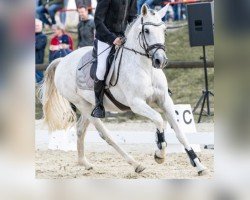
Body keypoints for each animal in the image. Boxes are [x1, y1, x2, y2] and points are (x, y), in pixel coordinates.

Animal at [40, 3, 206, 174]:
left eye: (164, 30)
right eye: (146, 31)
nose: (160, 60)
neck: (146, 69)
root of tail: (62, 60)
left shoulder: (165, 100)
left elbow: (180, 132)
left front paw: (198, 164)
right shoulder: (137, 103)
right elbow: (159, 120)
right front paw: (160, 154)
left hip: (90, 105)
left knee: (80, 129)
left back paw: (84, 163)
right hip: (83, 105)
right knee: (106, 135)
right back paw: (136, 164)